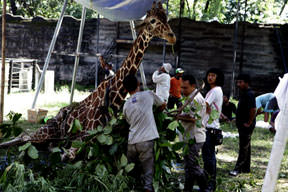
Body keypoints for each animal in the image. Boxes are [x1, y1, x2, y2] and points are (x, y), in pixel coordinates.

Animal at [0, 1, 177, 158]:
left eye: (166, 17)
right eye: (153, 20)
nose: (172, 37)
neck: (112, 96)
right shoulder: (84, 135)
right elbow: (69, 155)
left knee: (28, 139)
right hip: (45, 132)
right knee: (23, 137)